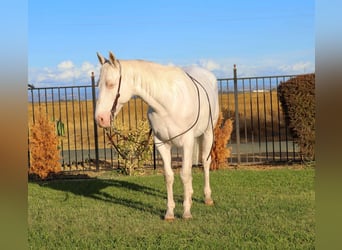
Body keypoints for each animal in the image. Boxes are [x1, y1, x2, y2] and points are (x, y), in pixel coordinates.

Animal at [95, 51, 219, 220]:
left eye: (110, 84)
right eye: (98, 84)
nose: (100, 119)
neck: (168, 103)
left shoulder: (186, 142)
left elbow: (185, 174)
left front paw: (186, 212)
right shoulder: (161, 143)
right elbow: (169, 176)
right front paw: (170, 213)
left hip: (208, 133)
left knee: (206, 163)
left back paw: (207, 197)